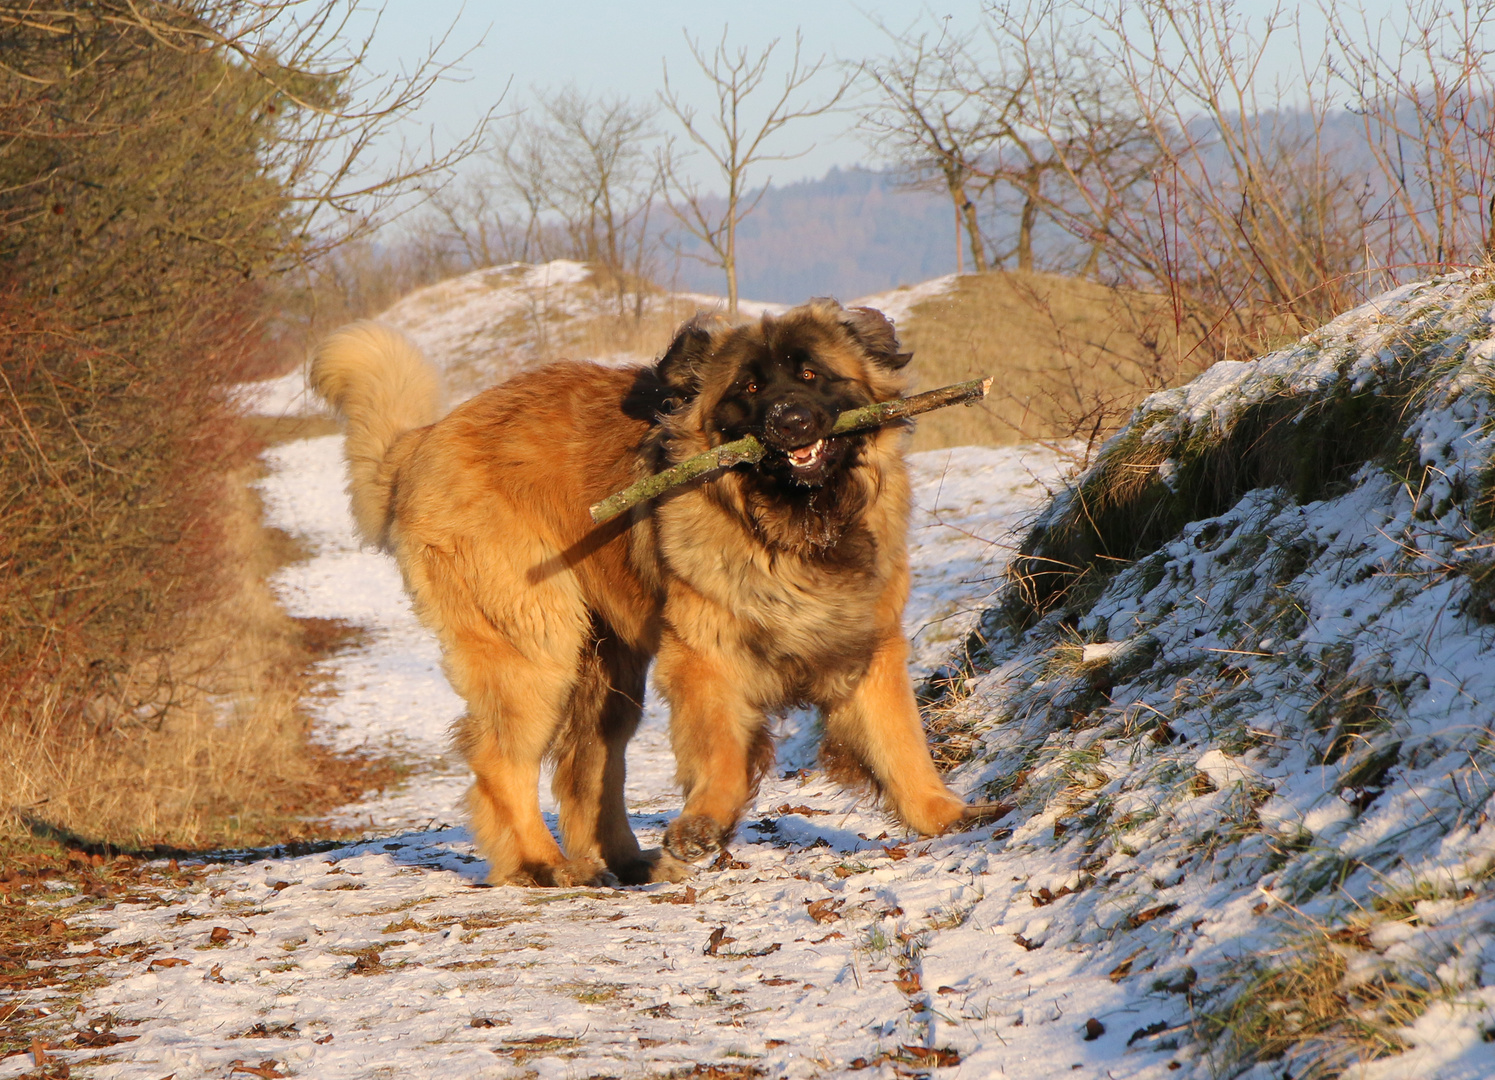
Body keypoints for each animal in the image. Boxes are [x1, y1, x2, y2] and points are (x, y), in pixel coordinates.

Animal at [312, 300, 968, 885]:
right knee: (500, 759)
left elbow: (901, 741)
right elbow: (722, 752)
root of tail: (422, 441)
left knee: (589, 764)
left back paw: (625, 862)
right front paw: (703, 825)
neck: (792, 528)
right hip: (535, 646)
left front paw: (948, 816)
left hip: (608, 666)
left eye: (811, 375)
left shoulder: (865, 642)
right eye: (750, 387)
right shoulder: (707, 656)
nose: (790, 421)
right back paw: (541, 864)